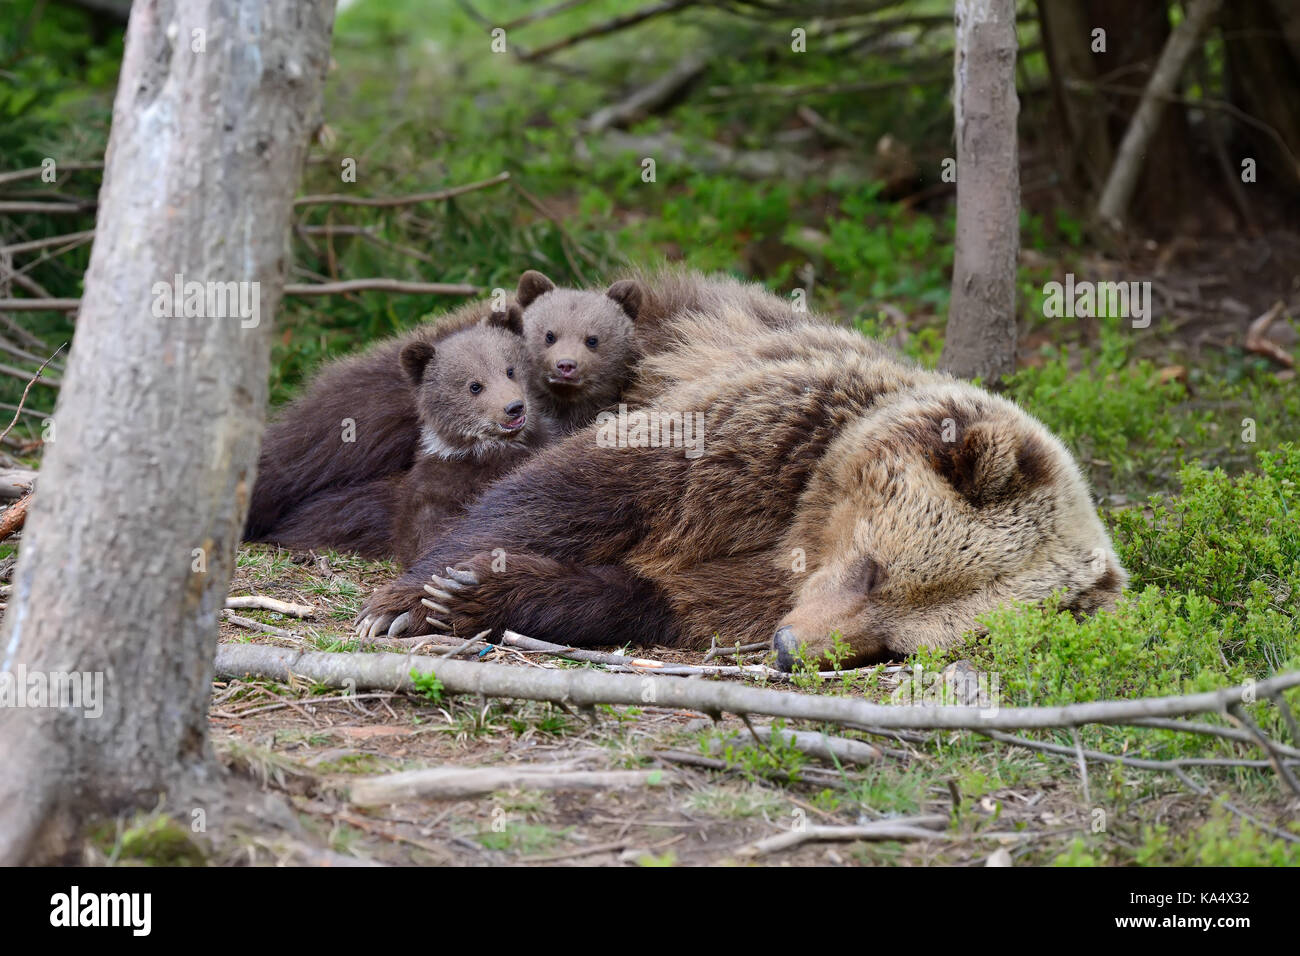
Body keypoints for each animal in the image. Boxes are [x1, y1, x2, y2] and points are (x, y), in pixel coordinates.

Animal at [353, 293, 1127, 670]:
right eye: (872, 570)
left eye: (900, 643)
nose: (790, 651)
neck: (805, 523)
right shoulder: (767, 433)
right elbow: (581, 490)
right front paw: (414, 599)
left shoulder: (757, 584)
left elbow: (659, 596)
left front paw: (484, 593)